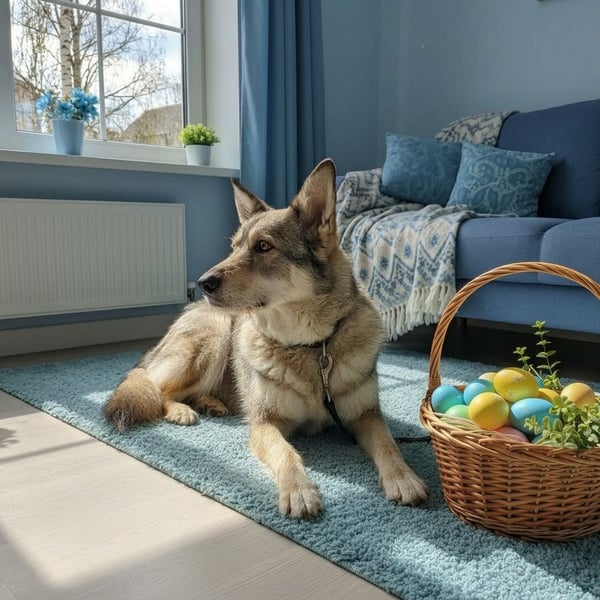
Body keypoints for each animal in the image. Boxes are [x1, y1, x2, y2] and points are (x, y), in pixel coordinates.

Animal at [103, 158, 428, 518]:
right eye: (234, 248)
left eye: (263, 246)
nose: (202, 282)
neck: (310, 346)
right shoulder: (265, 424)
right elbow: (286, 454)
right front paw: (299, 491)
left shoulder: (365, 417)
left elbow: (389, 445)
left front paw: (403, 478)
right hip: (213, 340)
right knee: (157, 388)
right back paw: (181, 410)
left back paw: (210, 403)